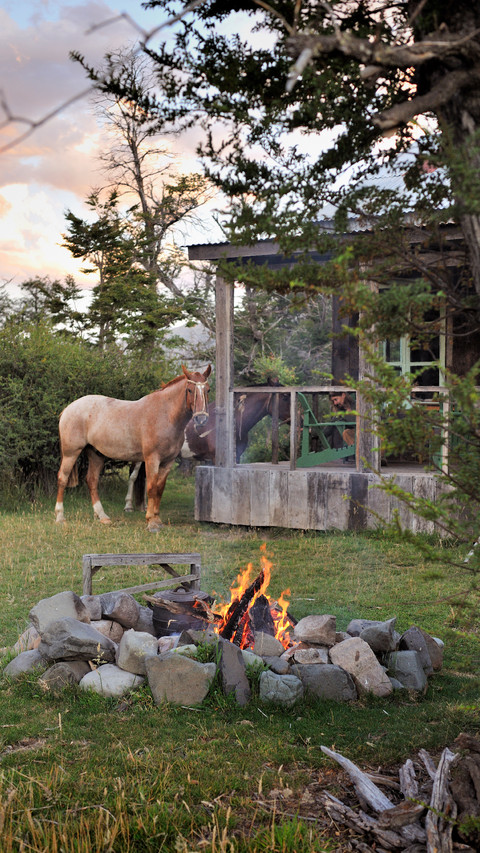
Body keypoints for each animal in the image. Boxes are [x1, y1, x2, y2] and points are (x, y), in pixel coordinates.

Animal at [55, 364, 211, 531]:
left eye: (207, 390)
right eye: (189, 390)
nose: (201, 419)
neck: (164, 415)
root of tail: (68, 409)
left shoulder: (167, 462)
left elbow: (160, 489)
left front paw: (157, 519)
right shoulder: (152, 459)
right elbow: (151, 488)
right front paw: (151, 522)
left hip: (96, 454)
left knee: (92, 480)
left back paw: (102, 516)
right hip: (71, 453)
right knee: (62, 478)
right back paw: (60, 517)